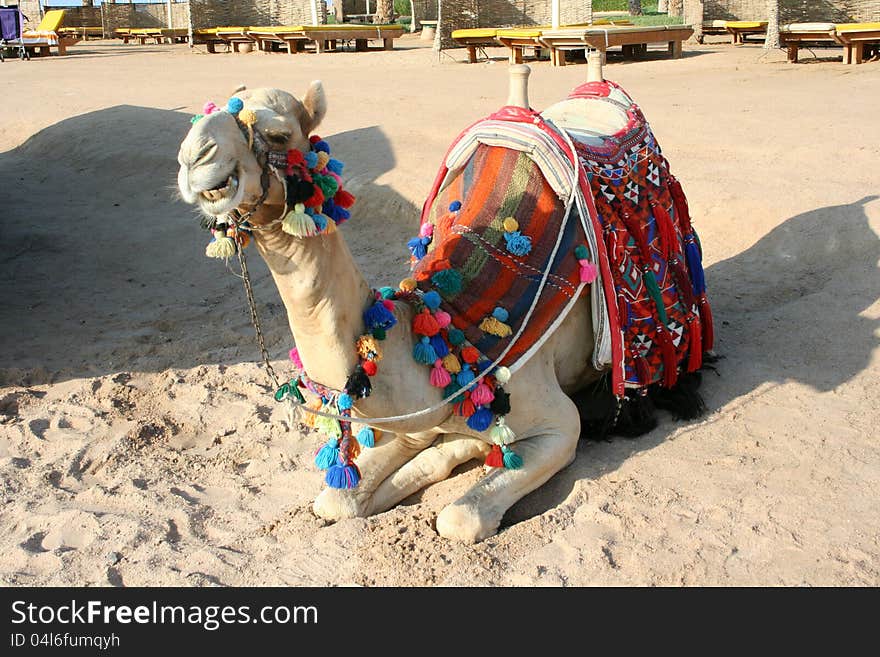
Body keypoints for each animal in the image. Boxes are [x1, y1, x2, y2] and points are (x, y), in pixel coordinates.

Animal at [175, 66, 704, 540]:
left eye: (279, 134)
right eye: (206, 111)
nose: (192, 157)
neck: (445, 333)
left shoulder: (558, 423)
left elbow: (459, 517)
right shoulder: (414, 421)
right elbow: (338, 498)